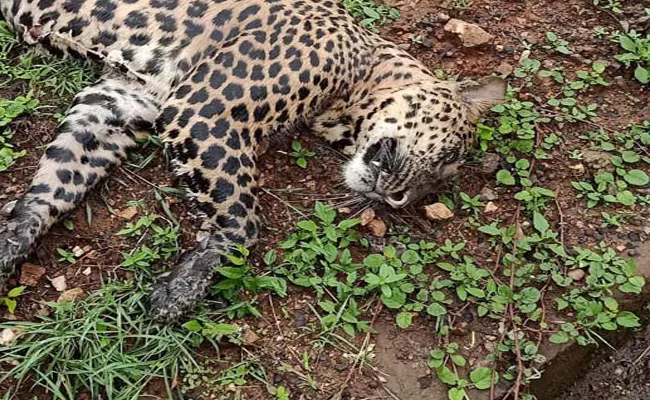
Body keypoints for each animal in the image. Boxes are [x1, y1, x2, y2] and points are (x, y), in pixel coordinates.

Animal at [0, 0, 504, 322]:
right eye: (448, 157)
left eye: (430, 190)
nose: (399, 198)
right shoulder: (204, 107)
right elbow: (244, 220)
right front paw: (185, 288)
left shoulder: (121, 102)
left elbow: (59, 177)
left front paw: (11, 239)